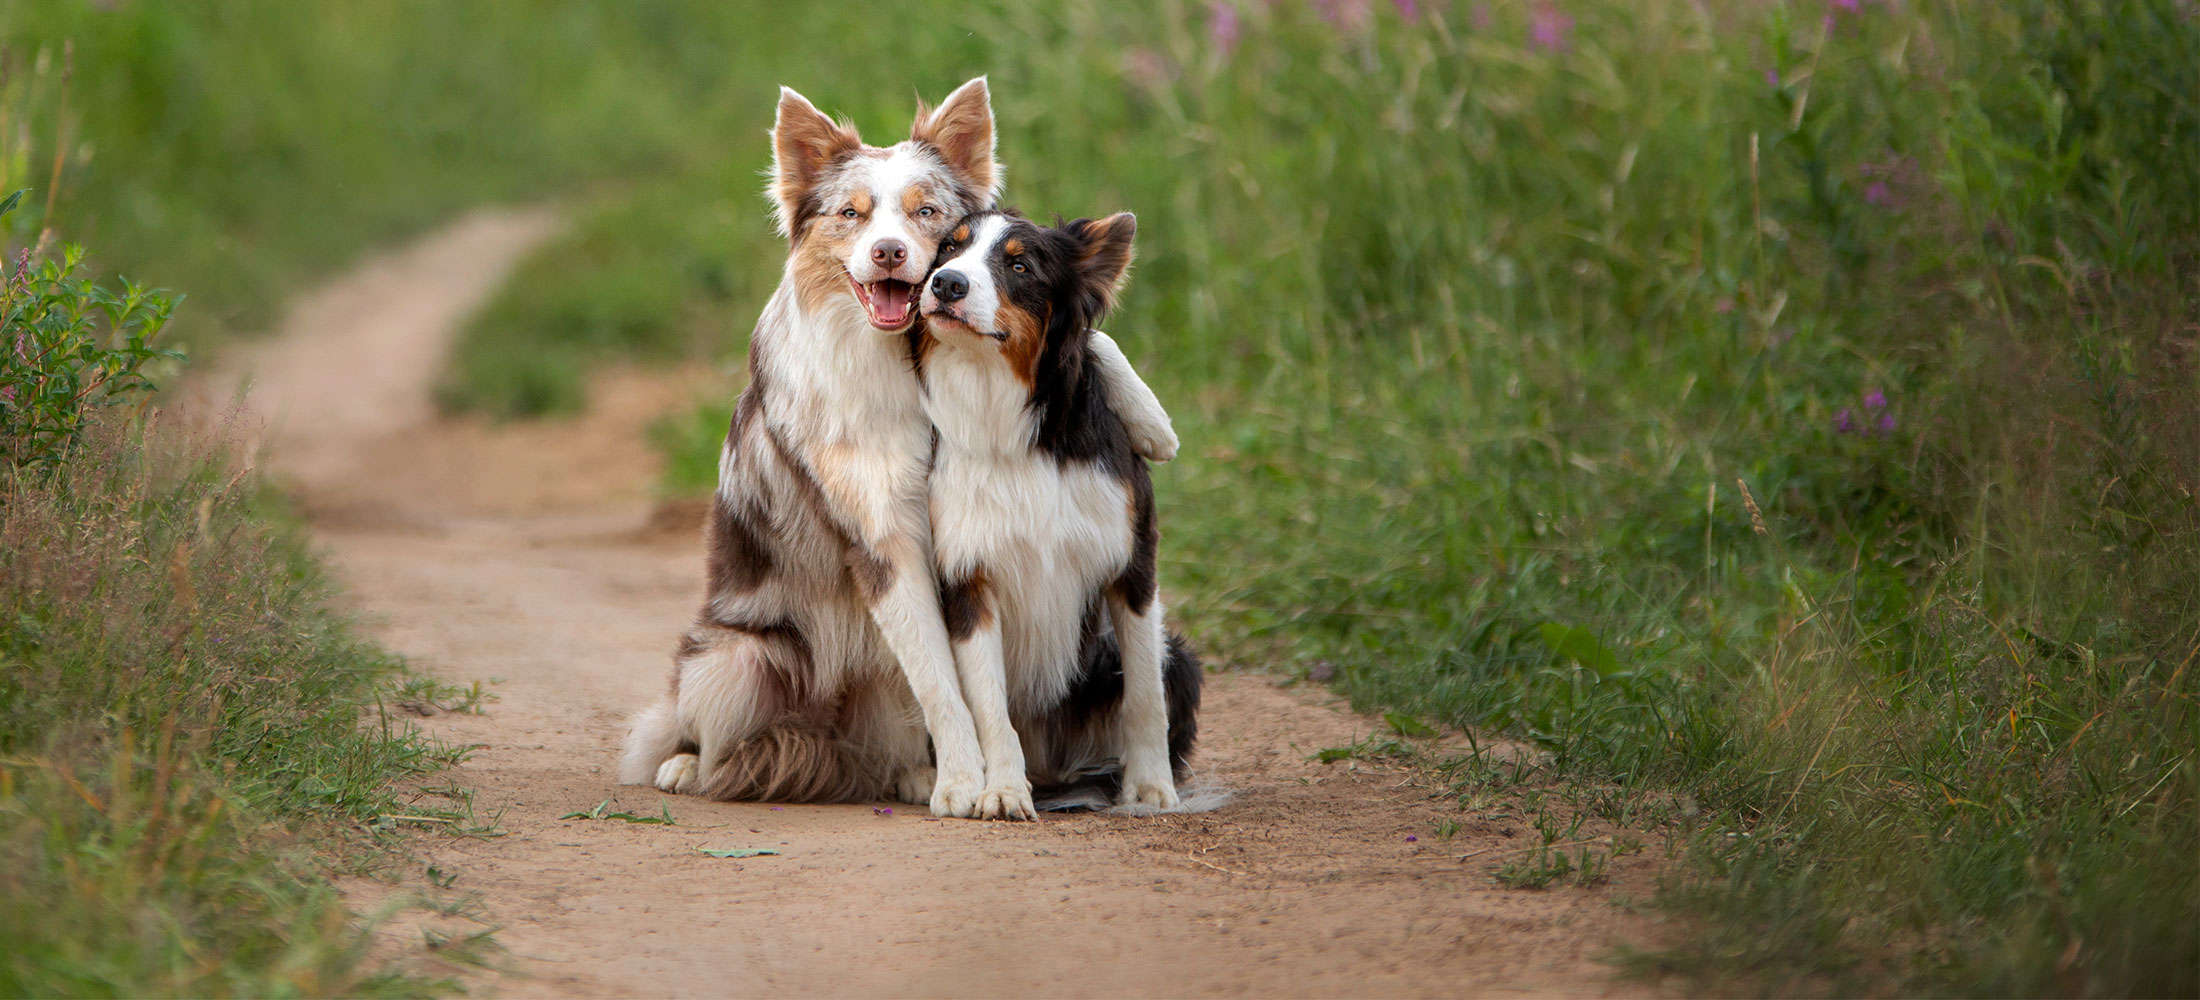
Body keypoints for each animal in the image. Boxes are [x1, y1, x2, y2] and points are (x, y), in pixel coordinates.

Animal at [616, 76, 1188, 813]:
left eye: (927, 214)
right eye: (851, 214)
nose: (890, 252)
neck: (904, 370)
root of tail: (837, 749)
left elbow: (1097, 342)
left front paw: (1150, 420)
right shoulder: (887, 541)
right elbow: (944, 682)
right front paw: (968, 782)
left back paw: (913, 774)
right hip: (739, 659)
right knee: (697, 723)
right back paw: (688, 764)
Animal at [924, 213, 1214, 821]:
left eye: (1019, 265)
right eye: (947, 250)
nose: (945, 283)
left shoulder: (1132, 563)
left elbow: (1144, 695)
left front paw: (1149, 787)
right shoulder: (967, 579)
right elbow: (989, 706)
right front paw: (1004, 790)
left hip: (1179, 658)